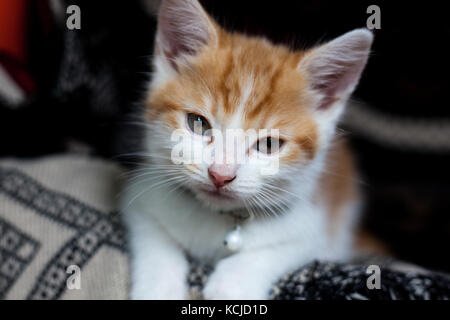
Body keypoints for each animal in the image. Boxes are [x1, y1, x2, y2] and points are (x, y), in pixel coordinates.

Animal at [121, 0, 374, 300]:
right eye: (197, 123)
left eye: (268, 144)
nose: (220, 175)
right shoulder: (142, 197)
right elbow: (154, 236)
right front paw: (159, 286)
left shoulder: (313, 228)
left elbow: (278, 250)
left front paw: (231, 285)